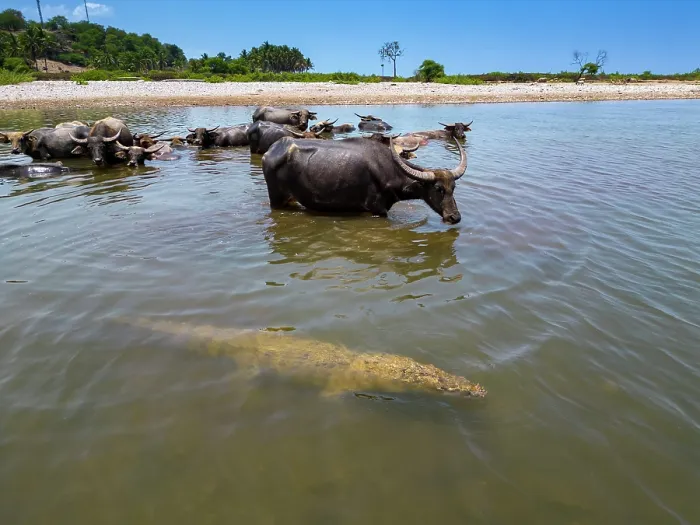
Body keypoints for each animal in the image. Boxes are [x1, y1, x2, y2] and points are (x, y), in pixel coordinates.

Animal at [261, 135, 467, 224]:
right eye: (438, 189)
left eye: (453, 187)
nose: (455, 217)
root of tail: (270, 151)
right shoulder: (376, 209)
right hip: (276, 198)